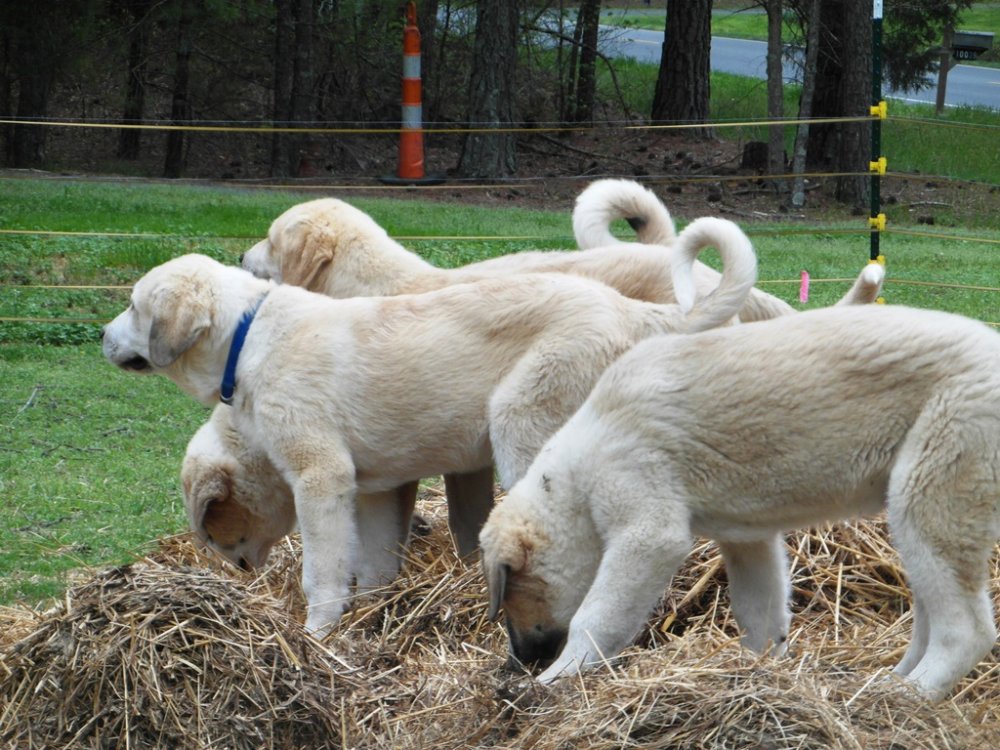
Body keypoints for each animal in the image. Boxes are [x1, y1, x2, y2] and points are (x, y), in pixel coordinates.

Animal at [103, 216, 756, 636]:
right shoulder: (375, 488)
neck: (249, 335)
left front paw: (316, 635)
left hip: (522, 426)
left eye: (134, 307)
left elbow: (323, 573)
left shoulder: (320, 478)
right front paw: (372, 615)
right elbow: (373, 563)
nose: (106, 337)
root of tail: (633, 311)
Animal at [480, 302, 996, 704]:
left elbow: (596, 616)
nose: (520, 661)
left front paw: (551, 681)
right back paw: (886, 682)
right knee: (932, 612)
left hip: (932, 498)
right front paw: (754, 674)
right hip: (915, 516)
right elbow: (760, 612)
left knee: (967, 630)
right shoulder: (748, 539)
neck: (576, 473)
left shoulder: (647, 532)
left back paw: (909, 694)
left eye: (510, 592)